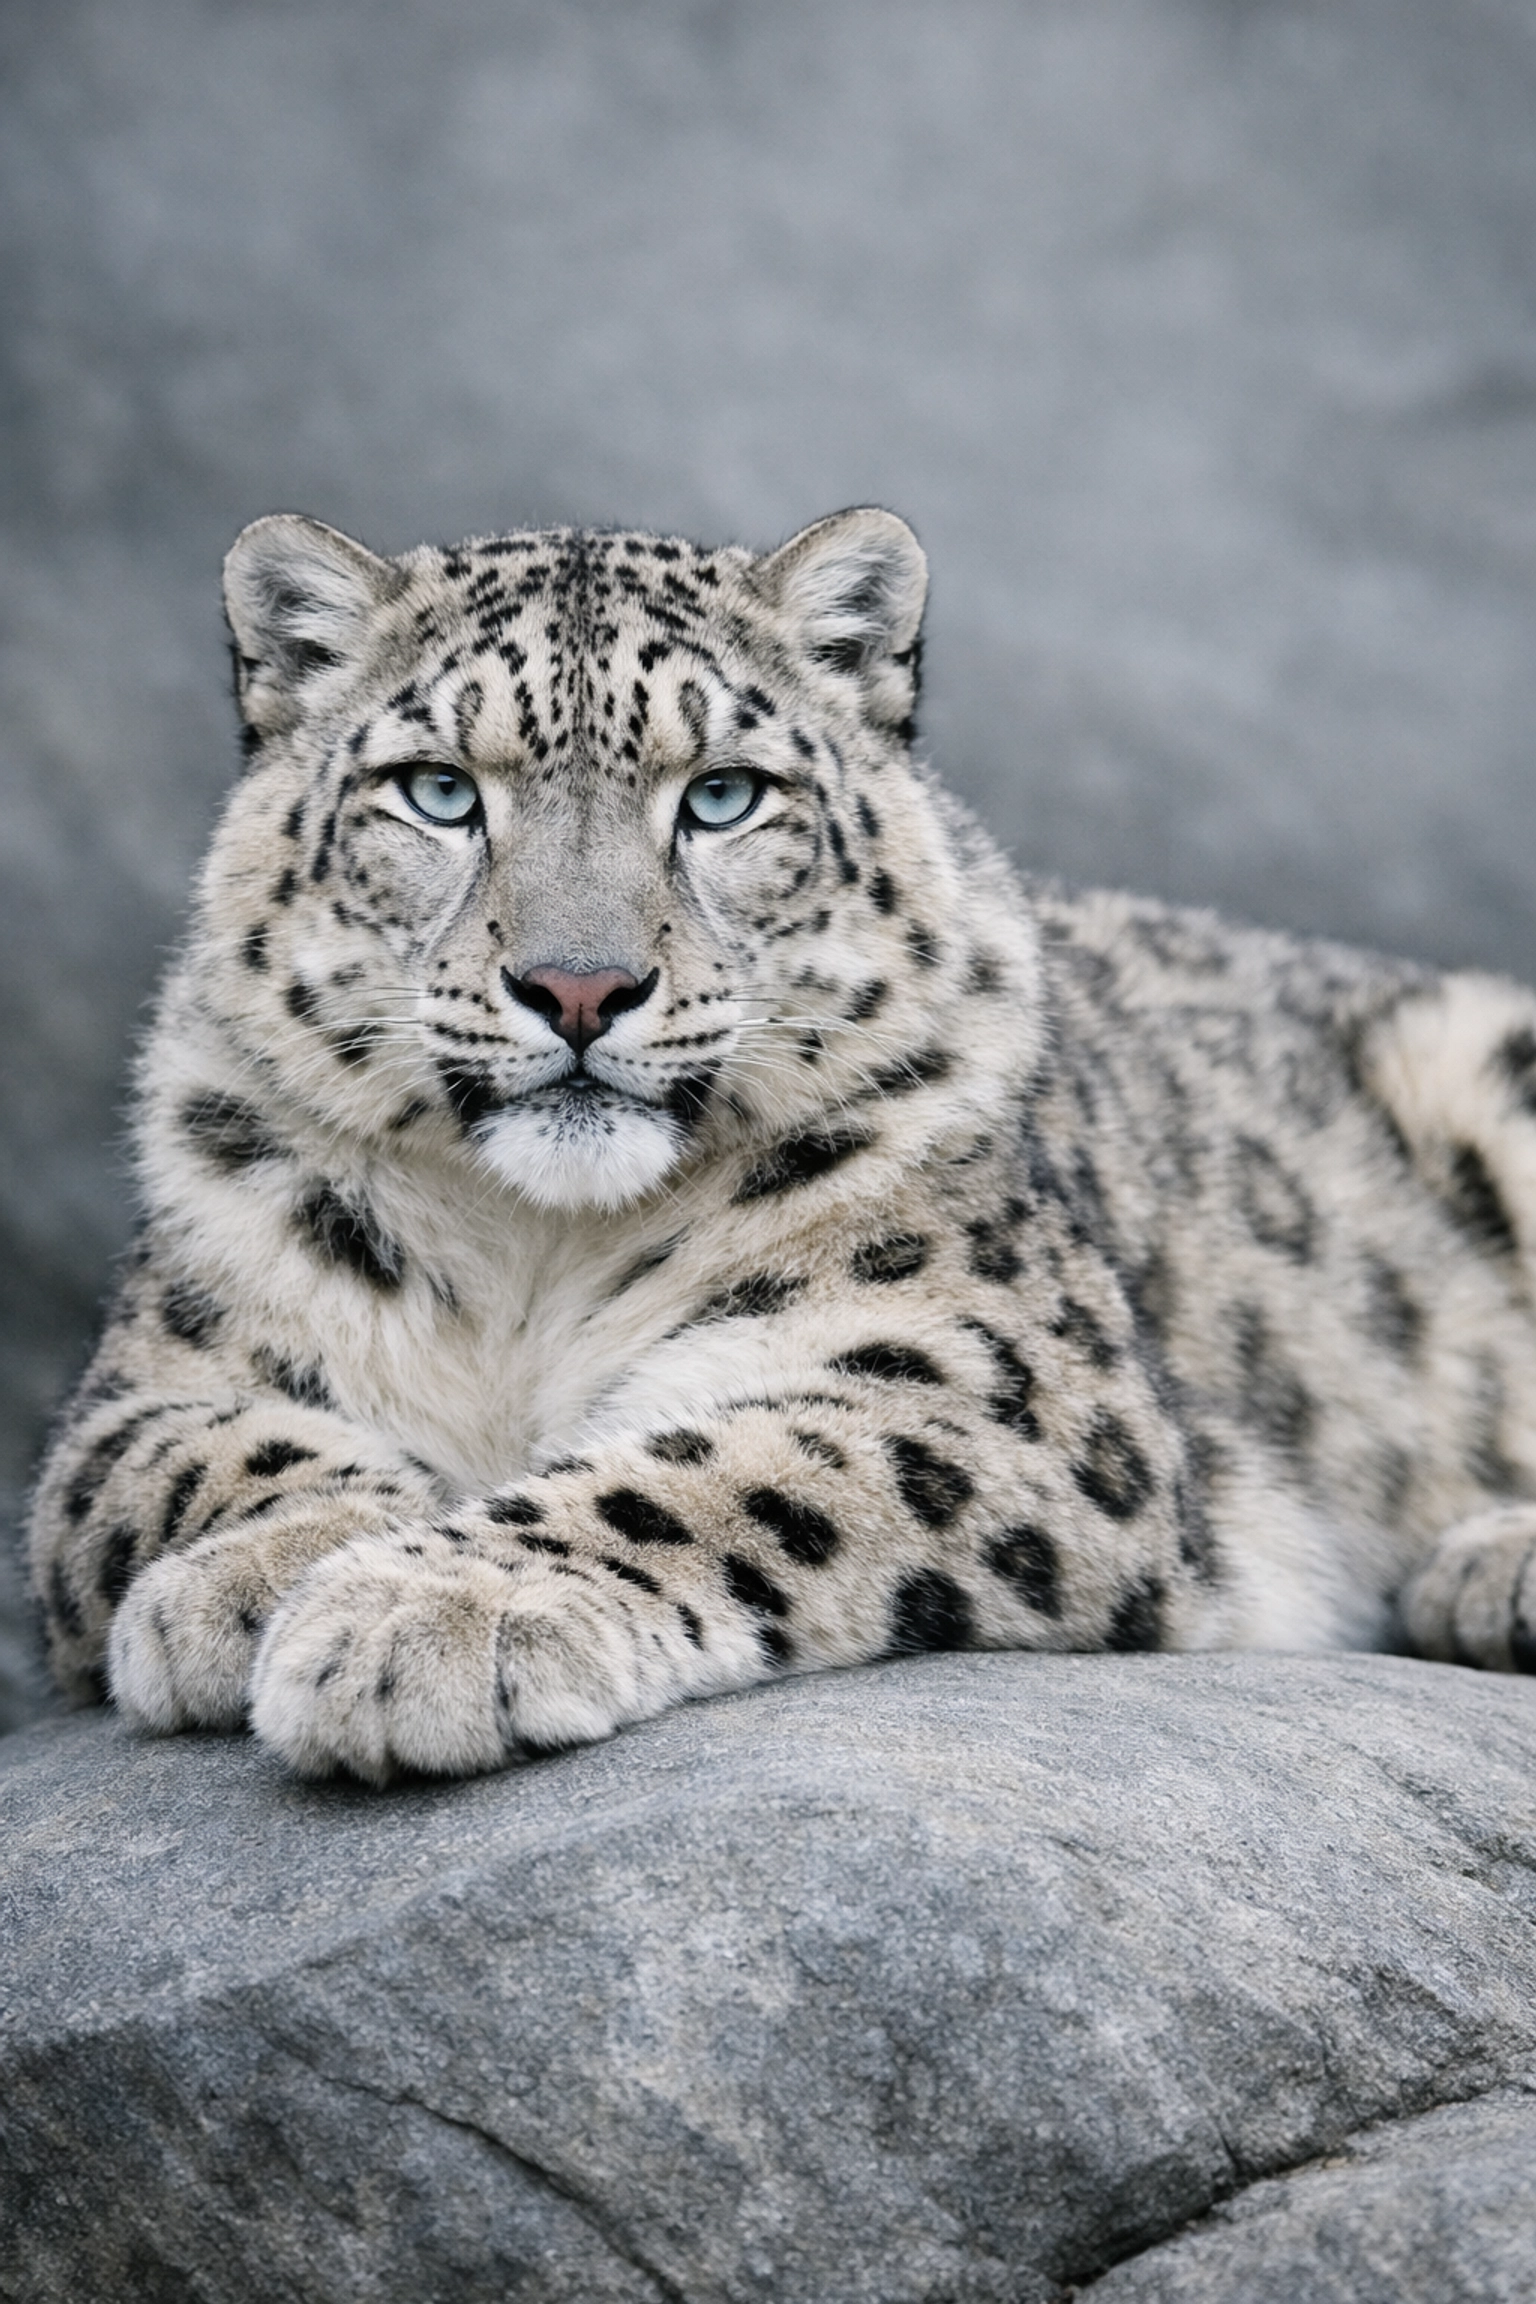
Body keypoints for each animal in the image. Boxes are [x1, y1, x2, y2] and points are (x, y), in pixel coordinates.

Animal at [25, 504, 1536, 1783]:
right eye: (441, 792)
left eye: (722, 796)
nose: (581, 986)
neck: (534, 1260)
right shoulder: (153, 1375)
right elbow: (190, 1460)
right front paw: (261, 1575)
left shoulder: (990, 1384)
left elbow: (722, 1469)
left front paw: (424, 1614)